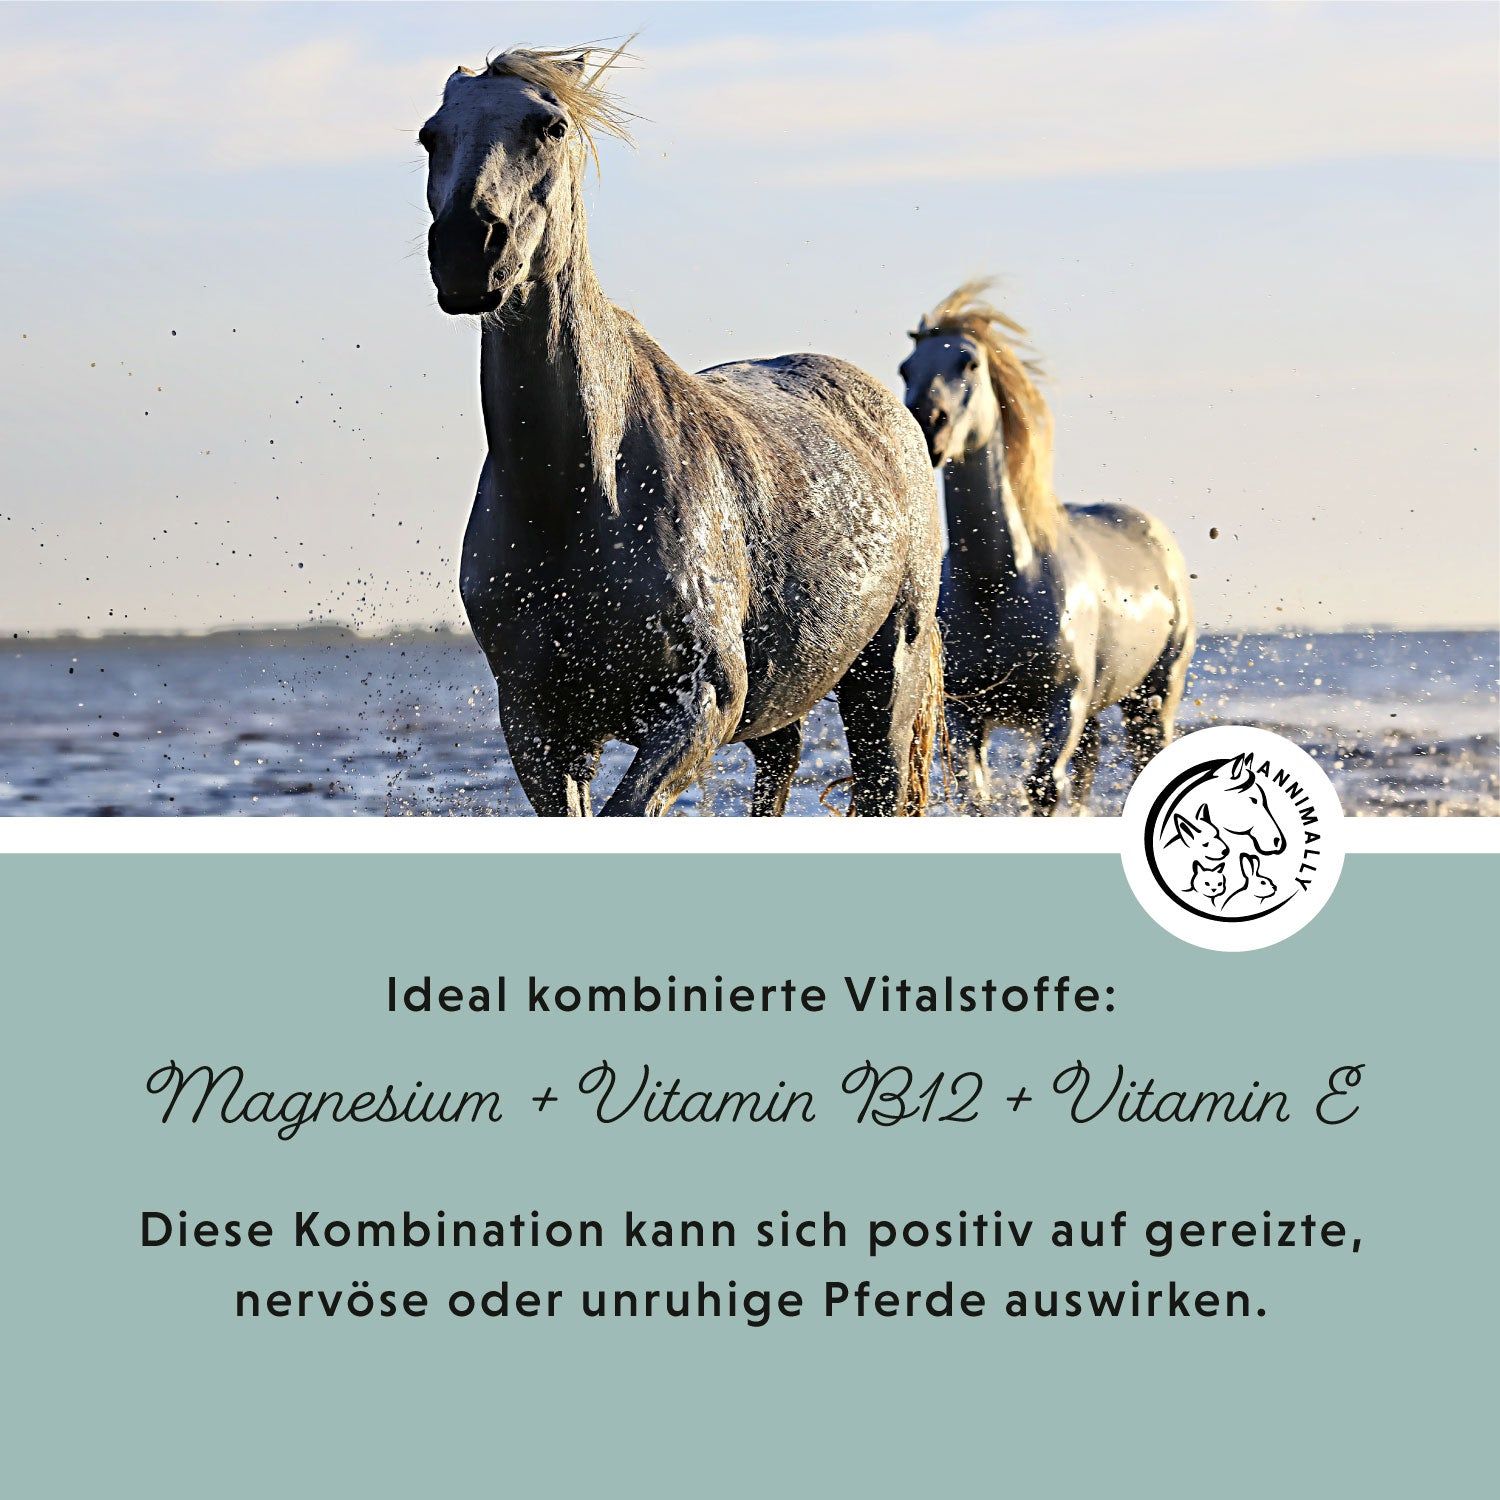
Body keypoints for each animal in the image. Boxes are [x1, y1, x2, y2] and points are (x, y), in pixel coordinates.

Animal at [419, 46, 942, 816]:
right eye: (432, 136)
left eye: (549, 126)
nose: (467, 248)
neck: (577, 494)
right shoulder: (539, 728)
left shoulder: (698, 705)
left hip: (886, 675)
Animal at [899, 282, 1194, 814]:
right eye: (906, 368)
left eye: (969, 362)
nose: (928, 424)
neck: (999, 581)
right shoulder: (967, 710)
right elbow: (978, 795)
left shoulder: (1064, 703)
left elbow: (1042, 788)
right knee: (1088, 766)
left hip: (1154, 695)